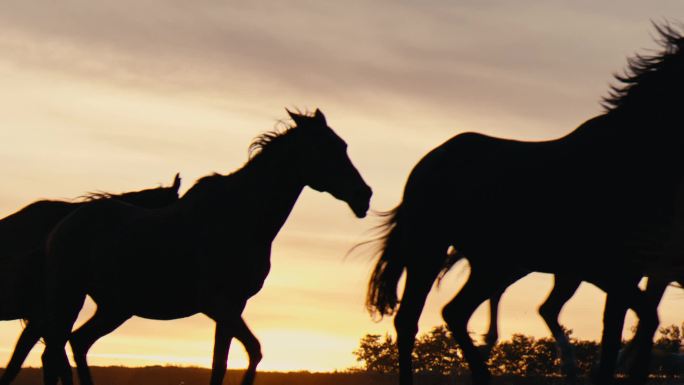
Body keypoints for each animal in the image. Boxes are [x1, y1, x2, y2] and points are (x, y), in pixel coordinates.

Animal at [40, 107, 372, 384]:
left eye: (343, 145)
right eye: (325, 148)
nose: (363, 195)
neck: (241, 218)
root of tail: (63, 225)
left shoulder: (235, 305)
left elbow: (222, 363)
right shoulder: (216, 303)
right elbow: (253, 350)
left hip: (116, 306)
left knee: (76, 343)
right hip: (69, 297)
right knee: (55, 350)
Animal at [368, 24, 684, 384]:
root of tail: (428, 163)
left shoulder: (629, 274)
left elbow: (630, 328)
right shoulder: (615, 272)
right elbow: (628, 330)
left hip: (493, 264)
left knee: (454, 312)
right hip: (430, 249)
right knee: (412, 320)